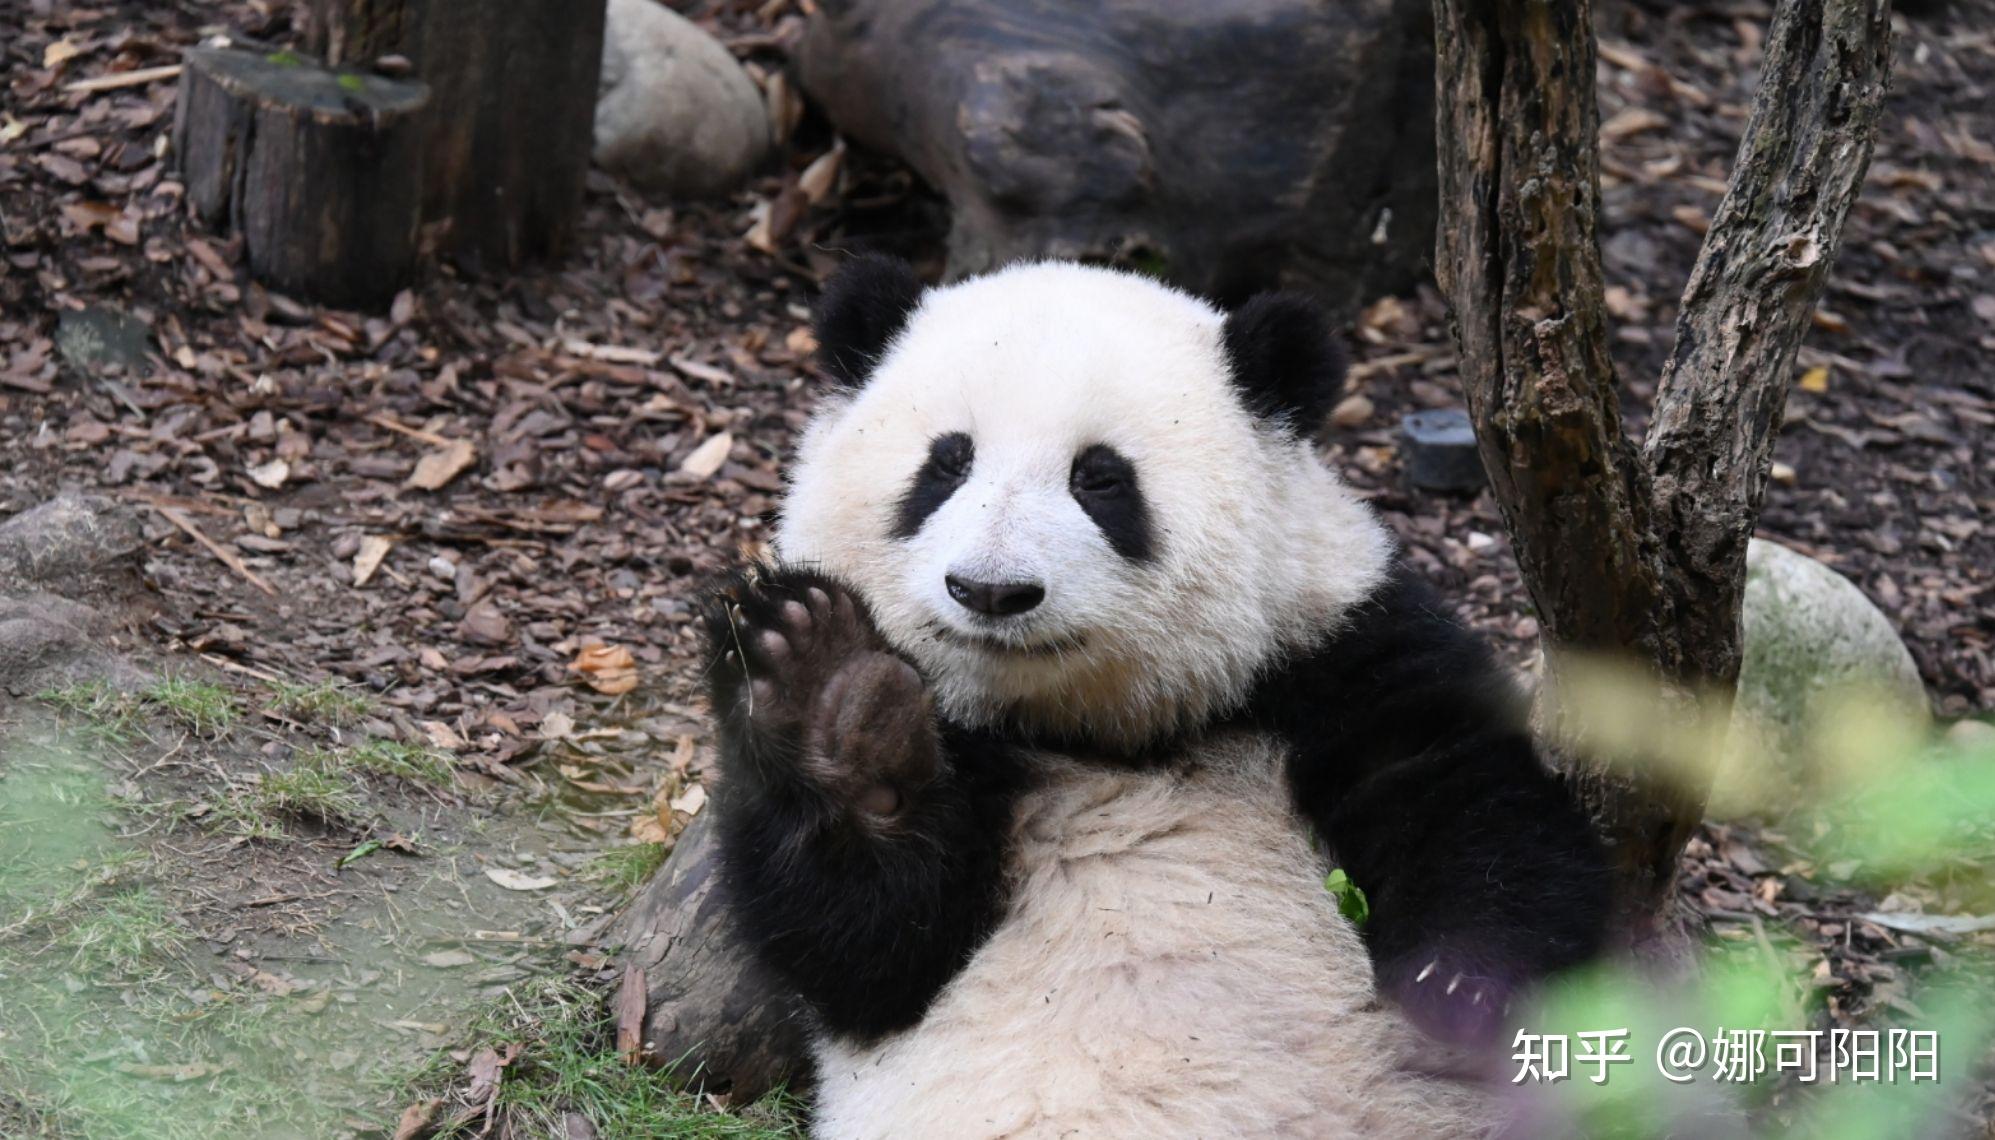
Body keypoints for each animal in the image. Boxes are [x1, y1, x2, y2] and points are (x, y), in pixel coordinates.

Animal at [698, 259, 1603, 1140]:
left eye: (1100, 478)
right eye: (946, 463)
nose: (990, 590)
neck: (1095, 733)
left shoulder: (1331, 647)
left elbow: (1457, 790)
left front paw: (1458, 981)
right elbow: (869, 948)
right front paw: (827, 691)